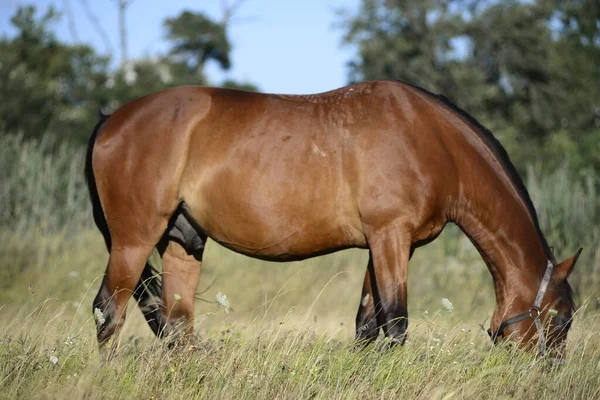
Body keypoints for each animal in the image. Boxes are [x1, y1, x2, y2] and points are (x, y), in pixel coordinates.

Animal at [85, 79, 580, 360]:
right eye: (560, 320)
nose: (549, 373)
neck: (431, 139)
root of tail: (111, 119)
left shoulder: (384, 244)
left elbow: (367, 326)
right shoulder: (390, 237)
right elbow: (395, 323)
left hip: (183, 241)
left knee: (176, 322)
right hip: (134, 240)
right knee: (110, 312)